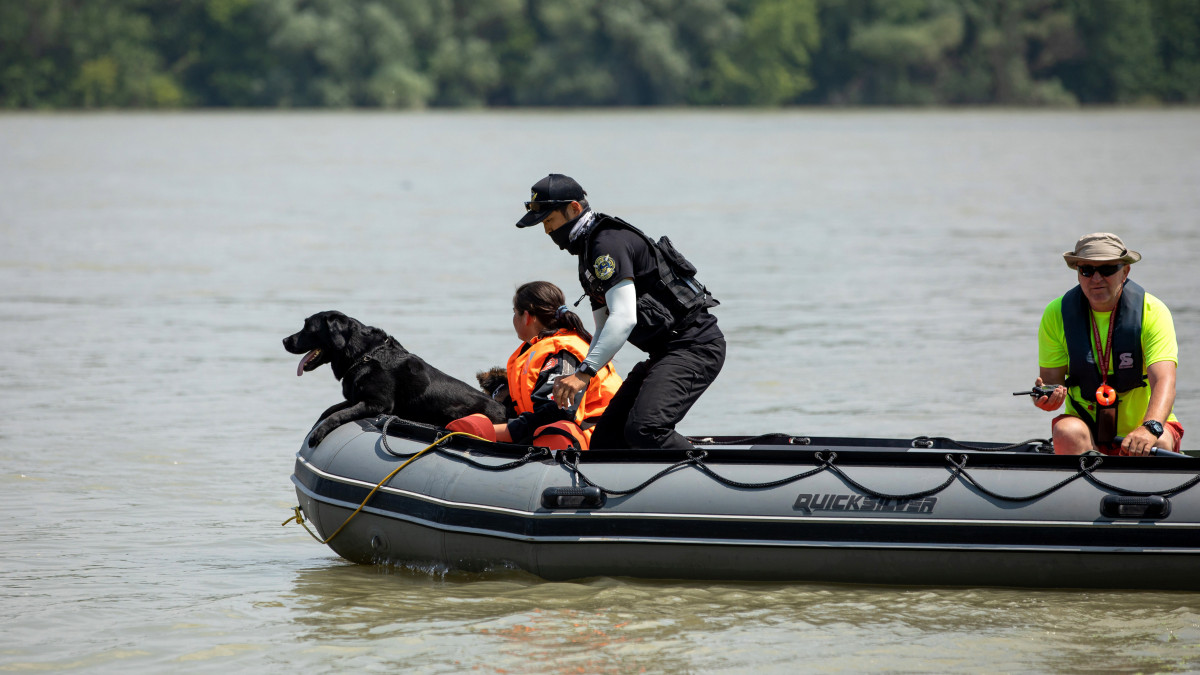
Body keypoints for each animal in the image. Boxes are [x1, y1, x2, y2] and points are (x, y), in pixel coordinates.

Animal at [283, 312, 504, 446]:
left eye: (307, 328)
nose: (284, 340)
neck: (364, 355)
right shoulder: (356, 398)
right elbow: (331, 410)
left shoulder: (377, 403)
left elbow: (338, 414)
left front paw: (318, 433)